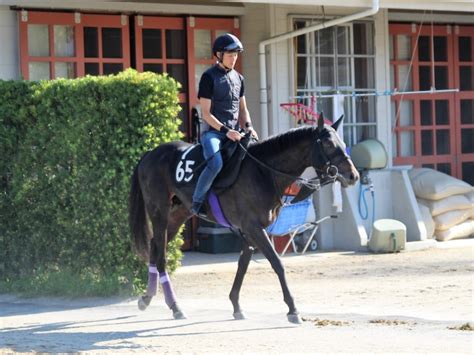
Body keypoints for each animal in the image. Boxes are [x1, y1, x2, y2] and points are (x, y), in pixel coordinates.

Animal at [128, 114, 358, 326]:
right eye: (328, 143)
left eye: (342, 142)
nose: (353, 176)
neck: (263, 171)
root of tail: (150, 154)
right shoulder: (253, 227)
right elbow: (277, 263)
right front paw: (292, 309)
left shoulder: (248, 231)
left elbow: (243, 265)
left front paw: (236, 306)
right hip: (159, 211)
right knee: (161, 256)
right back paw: (175, 306)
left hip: (178, 214)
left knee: (155, 246)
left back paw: (147, 298)